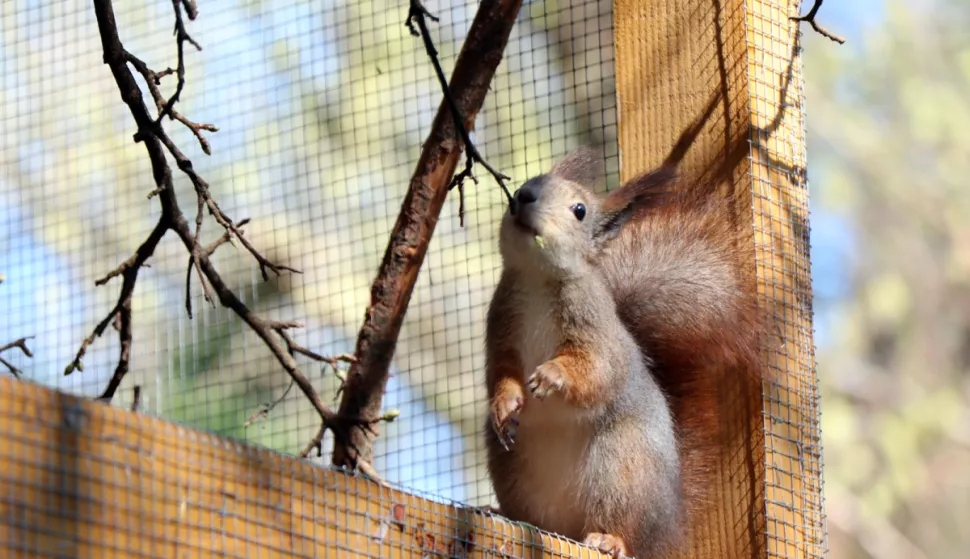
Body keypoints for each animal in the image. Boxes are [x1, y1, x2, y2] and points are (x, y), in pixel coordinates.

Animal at [483, 147, 763, 559]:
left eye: (580, 210)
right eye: (526, 184)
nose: (522, 196)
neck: (537, 280)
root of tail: (667, 523)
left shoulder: (599, 333)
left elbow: (598, 371)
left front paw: (553, 375)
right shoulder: (500, 328)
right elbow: (499, 372)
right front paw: (505, 403)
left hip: (621, 468)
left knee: (621, 523)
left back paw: (608, 538)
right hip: (513, 469)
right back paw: (505, 515)